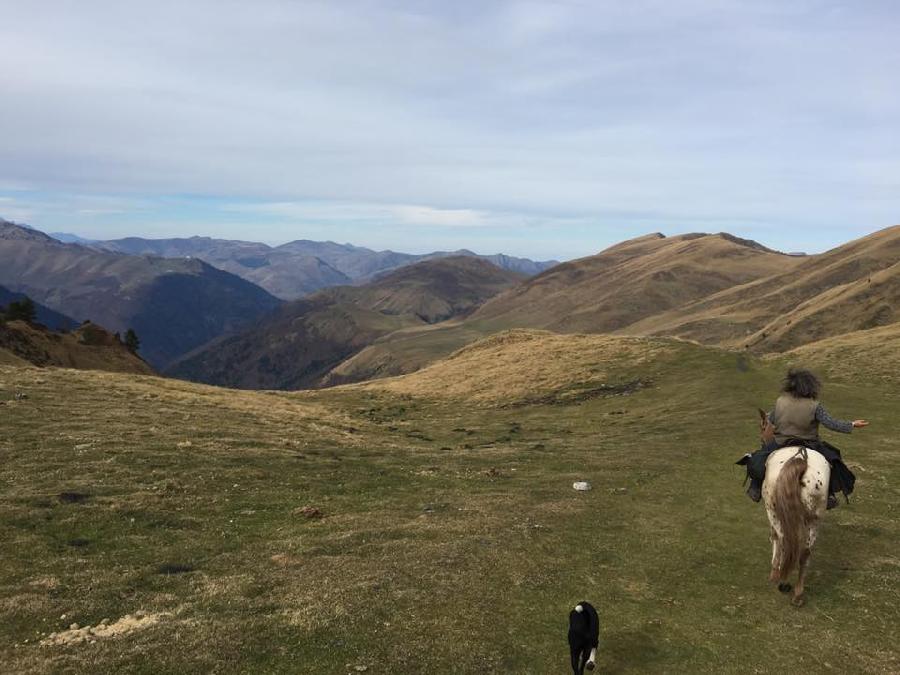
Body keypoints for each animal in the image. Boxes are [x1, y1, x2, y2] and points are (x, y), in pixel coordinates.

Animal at [756, 410, 832, 608]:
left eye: (762, 427)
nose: (761, 441)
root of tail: (800, 458)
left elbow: (774, 537)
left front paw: (774, 571)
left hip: (774, 511)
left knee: (784, 540)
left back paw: (781, 580)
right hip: (815, 518)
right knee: (804, 552)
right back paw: (798, 594)